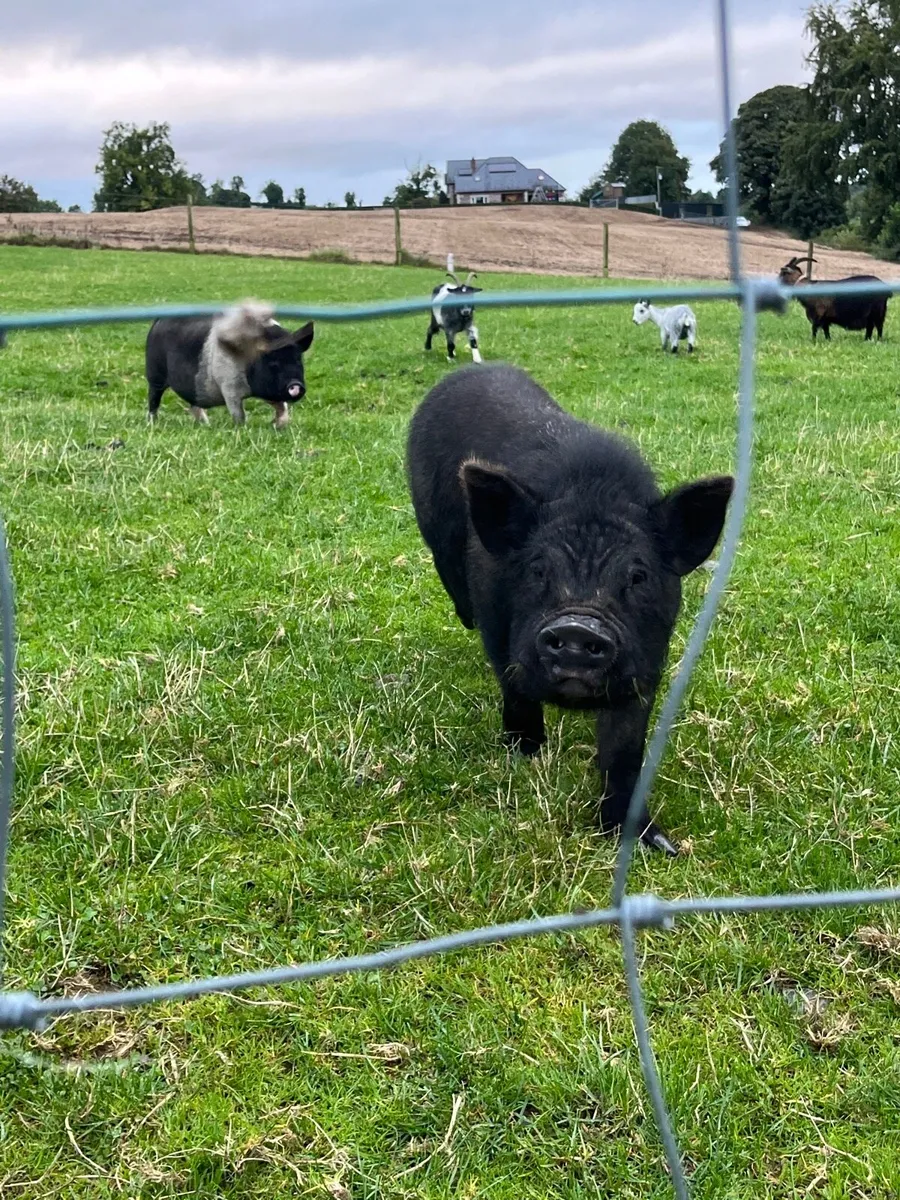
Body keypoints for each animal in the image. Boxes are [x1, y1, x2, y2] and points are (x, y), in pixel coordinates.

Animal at [145, 300, 314, 429]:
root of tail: (158, 321)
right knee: (154, 398)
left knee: (194, 405)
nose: (295, 385)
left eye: (298, 360)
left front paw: (278, 426)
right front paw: (242, 429)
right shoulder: (229, 386)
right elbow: (238, 413)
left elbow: (282, 407)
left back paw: (206, 425)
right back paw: (153, 423)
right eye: (273, 363)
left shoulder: (269, 389)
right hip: (155, 373)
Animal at [406, 363, 733, 855]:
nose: (579, 628)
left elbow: (625, 751)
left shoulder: (647, 663)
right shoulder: (499, 629)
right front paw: (525, 753)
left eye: (638, 577)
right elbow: (514, 688)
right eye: (538, 568)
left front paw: (655, 843)